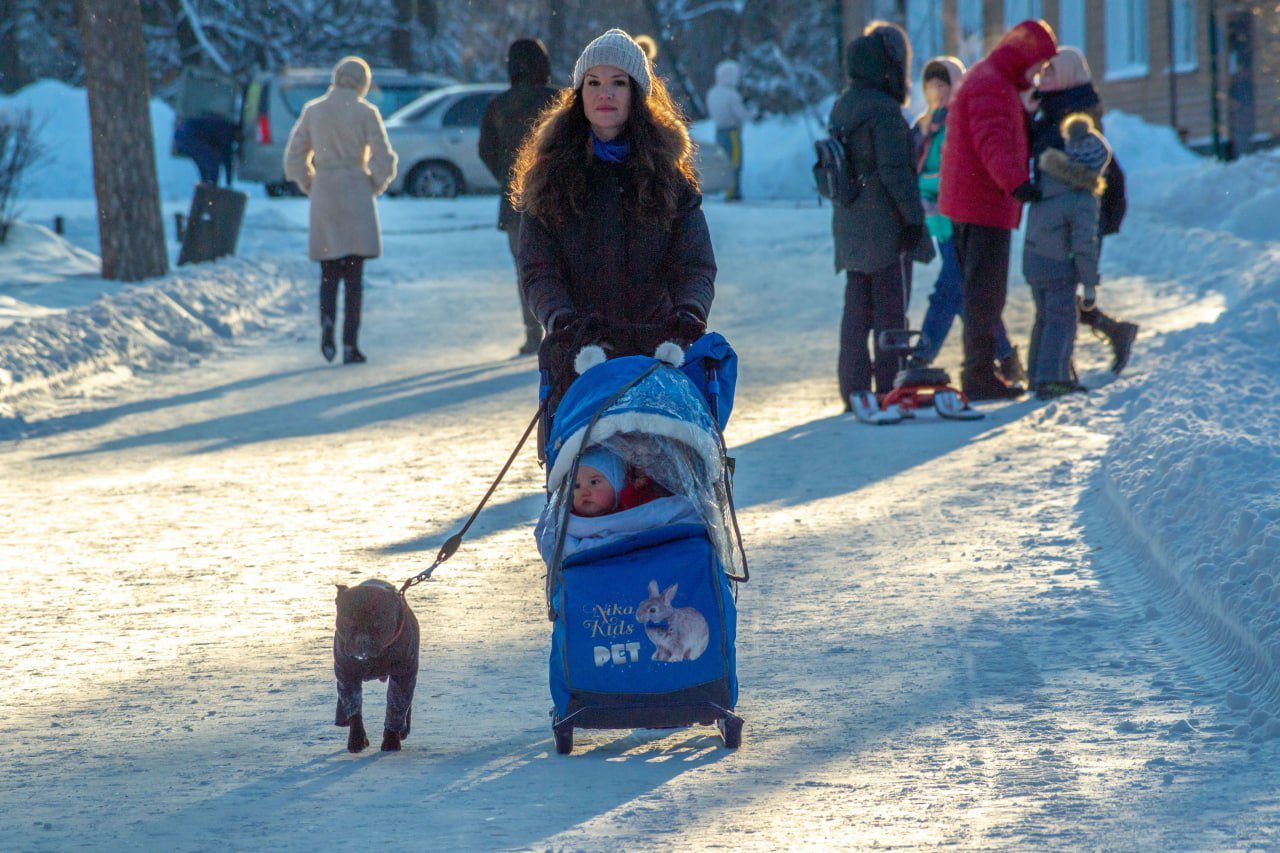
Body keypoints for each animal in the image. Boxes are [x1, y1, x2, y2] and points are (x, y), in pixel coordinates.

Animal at [335, 578, 419, 753]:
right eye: (348, 621)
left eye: (378, 623)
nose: (362, 639)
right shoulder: (346, 674)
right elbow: (353, 706)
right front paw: (357, 740)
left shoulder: (403, 676)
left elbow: (396, 708)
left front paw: (391, 741)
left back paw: (403, 730)